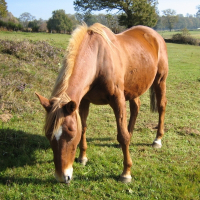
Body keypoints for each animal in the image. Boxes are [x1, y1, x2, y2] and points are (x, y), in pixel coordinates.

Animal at [35, 22, 167, 184]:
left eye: (71, 135)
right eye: (48, 135)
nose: (62, 176)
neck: (98, 60)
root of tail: (155, 35)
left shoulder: (118, 100)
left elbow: (122, 136)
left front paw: (126, 173)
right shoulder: (84, 101)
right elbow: (84, 127)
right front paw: (82, 157)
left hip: (160, 81)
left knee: (161, 106)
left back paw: (157, 140)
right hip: (134, 87)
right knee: (136, 106)